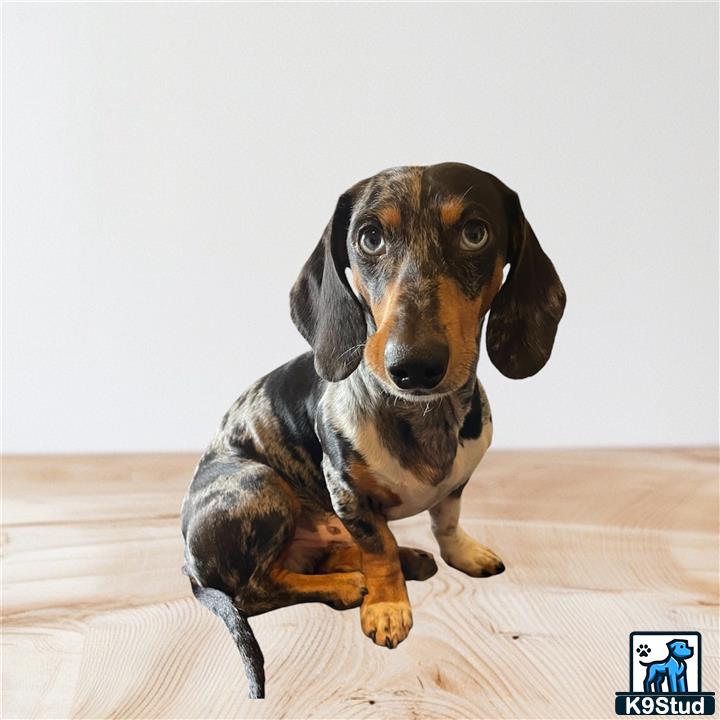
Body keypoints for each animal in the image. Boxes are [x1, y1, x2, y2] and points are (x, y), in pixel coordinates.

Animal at [179, 163, 564, 696]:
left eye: (475, 233)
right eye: (370, 238)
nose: (414, 367)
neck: (424, 417)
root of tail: (192, 570)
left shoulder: (458, 482)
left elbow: (447, 520)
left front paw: (460, 553)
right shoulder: (346, 493)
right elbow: (377, 548)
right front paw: (387, 605)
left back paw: (408, 560)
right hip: (258, 483)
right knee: (256, 589)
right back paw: (348, 585)